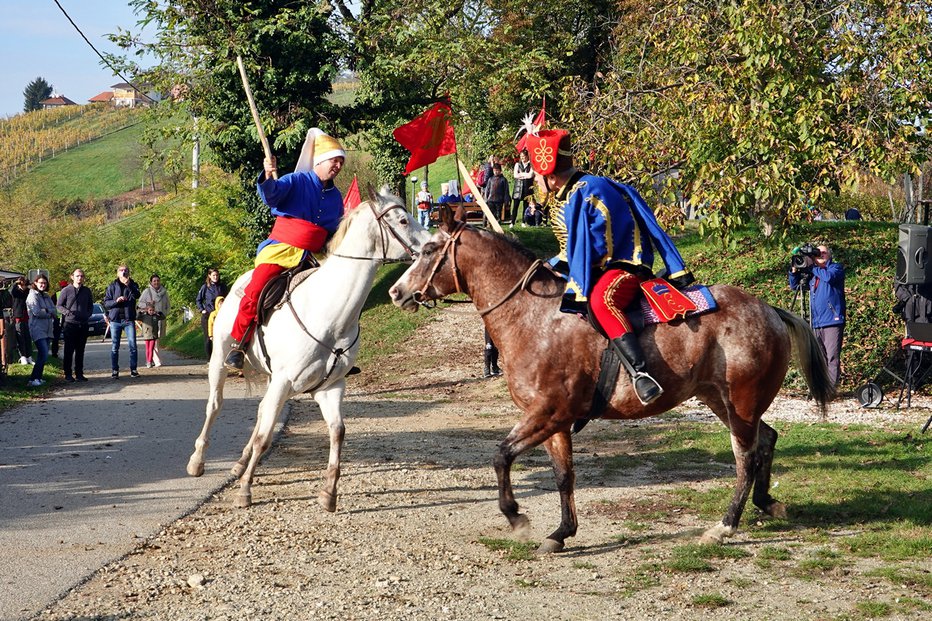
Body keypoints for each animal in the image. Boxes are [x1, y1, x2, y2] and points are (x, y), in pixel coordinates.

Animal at [187, 189, 434, 508]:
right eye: (403, 220)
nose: (433, 245)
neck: (331, 315)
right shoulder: (284, 382)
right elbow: (264, 437)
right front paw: (245, 490)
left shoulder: (329, 387)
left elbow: (337, 431)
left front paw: (329, 492)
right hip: (220, 360)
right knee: (215, 405)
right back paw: (198, 460)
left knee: (262, 411)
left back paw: (241, 462)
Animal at [386, 208, 832, 552]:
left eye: (429, 250)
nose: (395, 292)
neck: (534, 318)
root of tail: (770, 310)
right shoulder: (556, 422)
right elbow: (563, 475)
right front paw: (561, 532)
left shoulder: (547, 412)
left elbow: (501, 455)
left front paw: (516, 516)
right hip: (724, 402)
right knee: (766, 440)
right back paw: (766, 502)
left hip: (739, 404)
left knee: (746, 458)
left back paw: (726, 524)